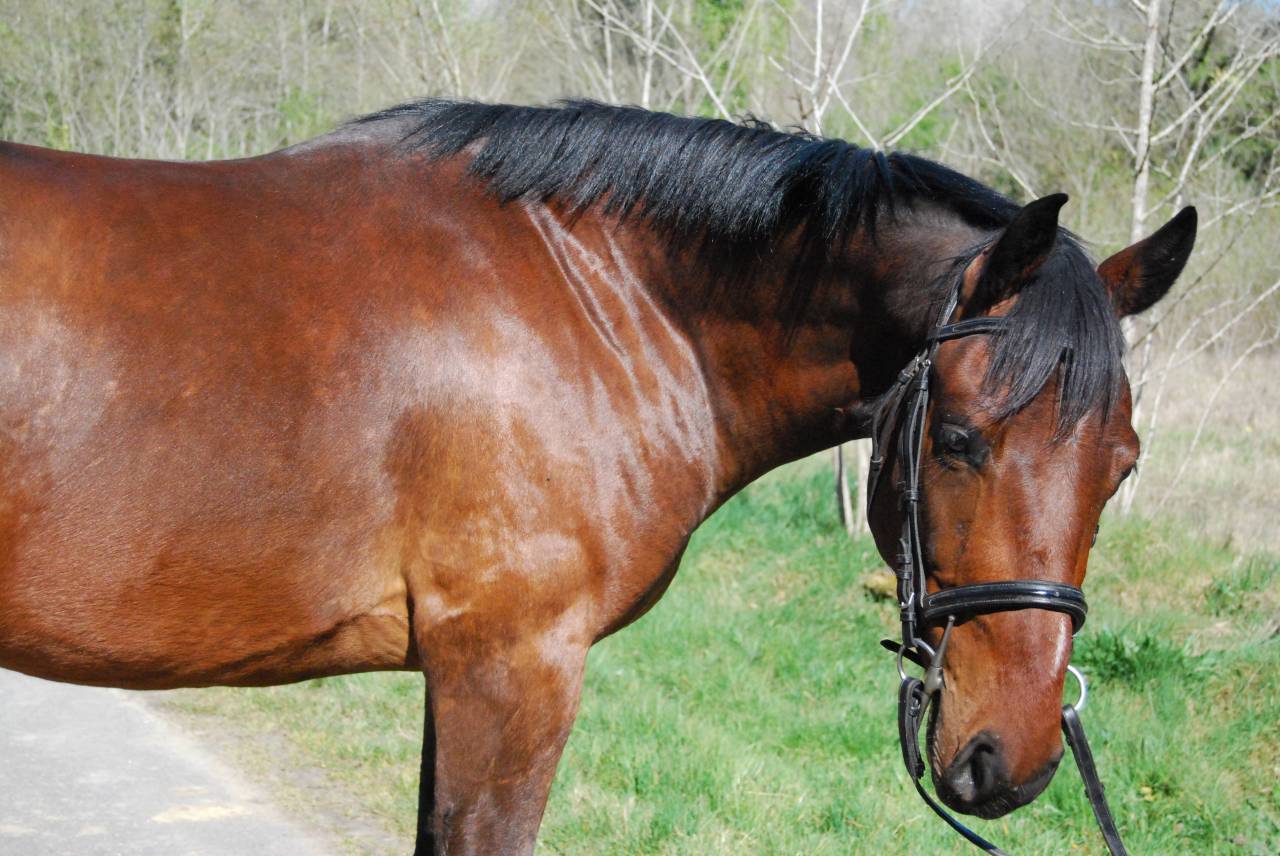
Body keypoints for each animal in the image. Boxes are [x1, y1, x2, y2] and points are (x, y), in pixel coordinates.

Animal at [0, 99, 1196, 854]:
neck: (603, 297)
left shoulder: (469, 677)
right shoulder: (510, 672)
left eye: (1122, 466)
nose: (1012, 757)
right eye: (955, 437)